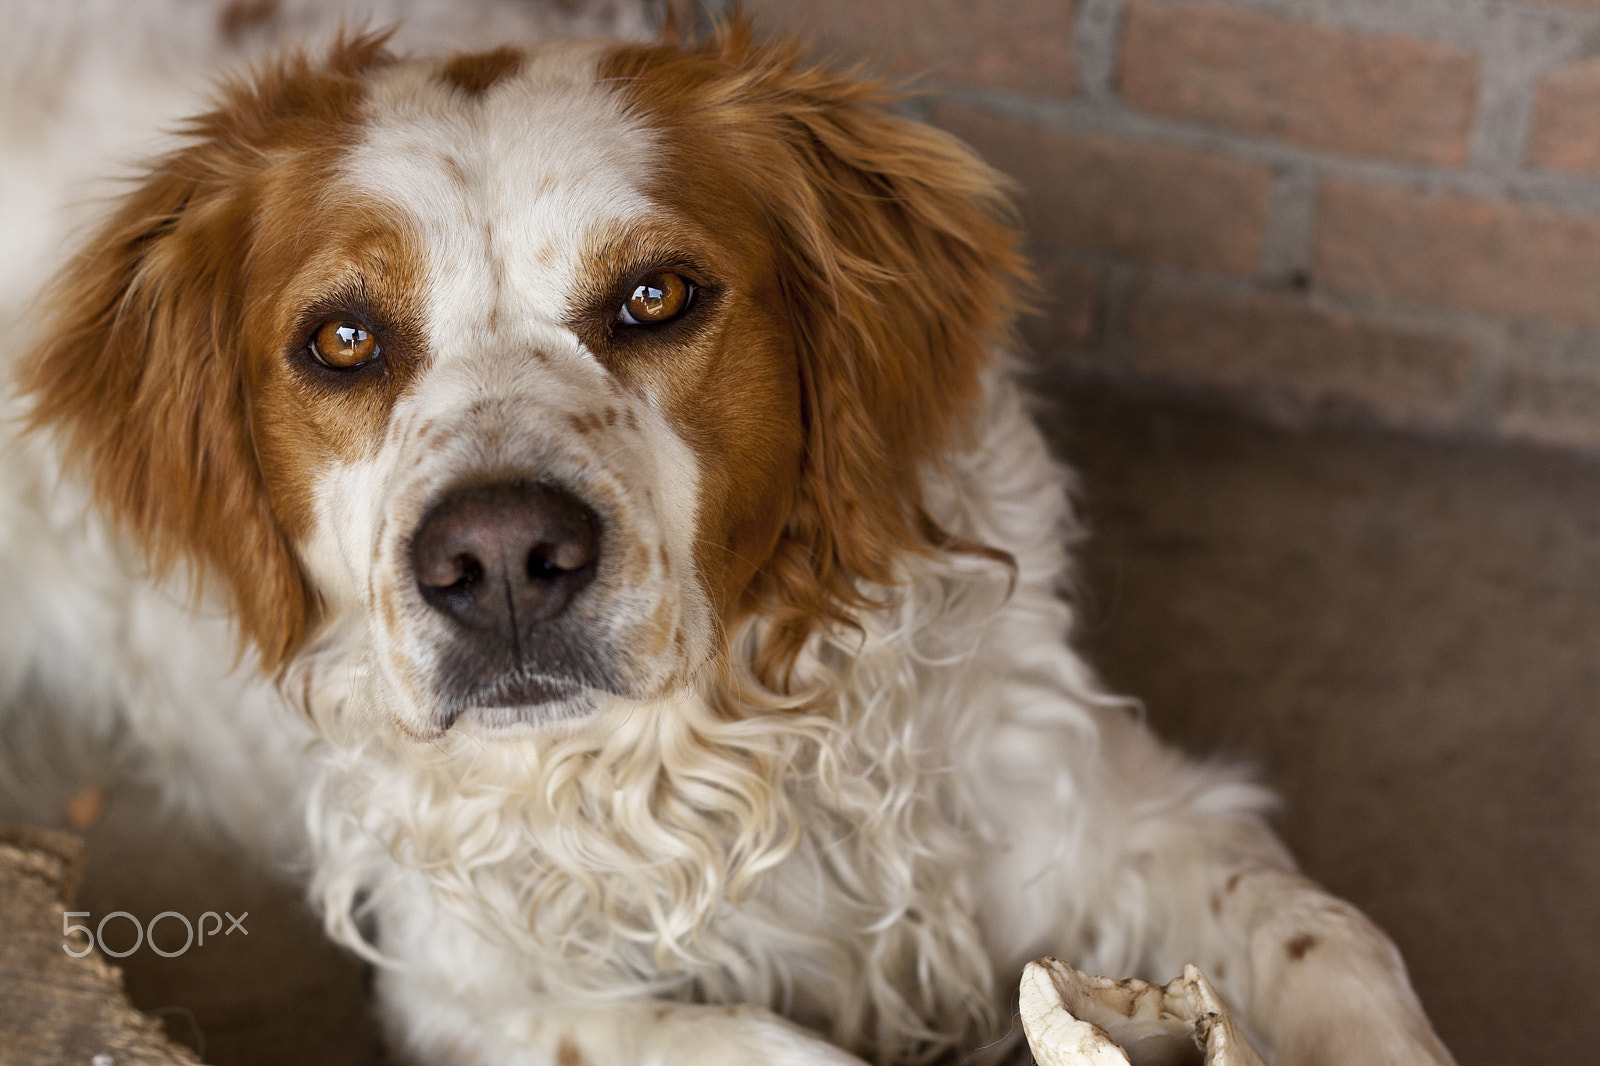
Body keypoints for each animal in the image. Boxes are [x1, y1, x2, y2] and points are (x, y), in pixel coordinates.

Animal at [0, 2, 1459, 1062]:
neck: (722, 749)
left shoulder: (1111, 807)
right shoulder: (478, 985)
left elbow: (1334, 935)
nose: (500, 560)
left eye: (655, 296)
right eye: (343, 339)